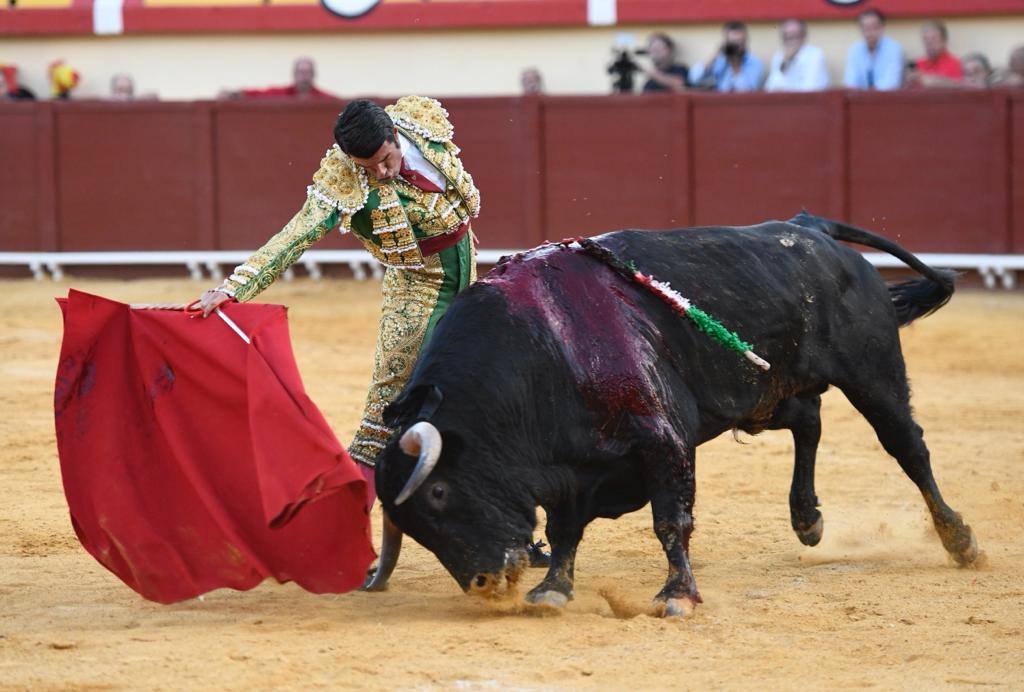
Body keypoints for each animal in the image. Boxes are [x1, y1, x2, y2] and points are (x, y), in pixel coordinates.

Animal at [366, 211, 974, 618]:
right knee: (808, 420)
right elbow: (565, 529)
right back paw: (807, 520)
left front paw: (677, 596)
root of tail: (812, 229)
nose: (487, 584)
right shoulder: (568, 467)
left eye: (438, 493)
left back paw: (958, 539)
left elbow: (670, 520)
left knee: (907, 446)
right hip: (759, 394)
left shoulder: (661, 438)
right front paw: (553, 589)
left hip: (873, 374)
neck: (539, 352)